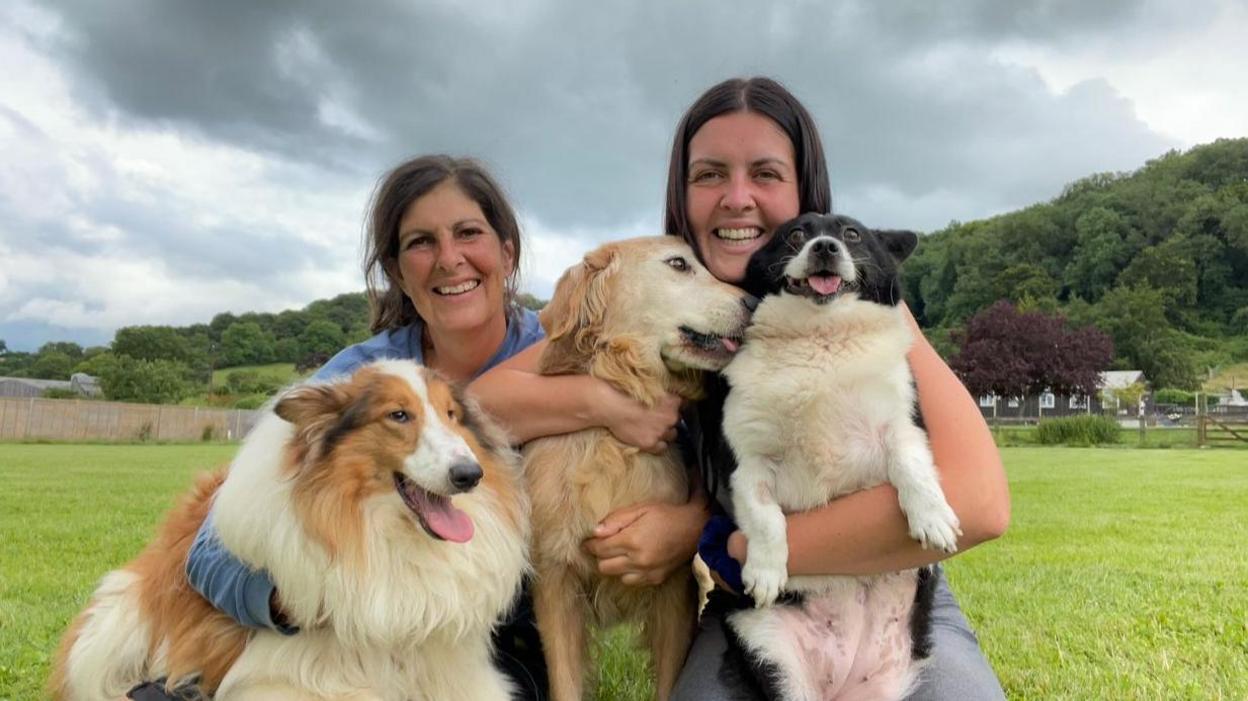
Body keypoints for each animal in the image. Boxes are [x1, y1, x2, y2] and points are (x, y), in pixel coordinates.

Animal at [47, 359, 526, 698]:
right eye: (398, 415)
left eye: (452, 414)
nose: (471, 475)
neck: (391, 540)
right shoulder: (288, 679)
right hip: (113, 627)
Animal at [524, 235, 748, 698]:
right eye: (679, 264)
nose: (754, 301)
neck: (613, 444)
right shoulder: (555, 586)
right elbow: (566, 682)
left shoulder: (675, 591)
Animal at [718, 213, 958, 698]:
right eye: (794, 235)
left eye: (852, 235)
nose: (826, 247)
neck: (820, 338)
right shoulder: (747, 464)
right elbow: (764, 515)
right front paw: (766, 569)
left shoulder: (902, 427)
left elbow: (911, 466)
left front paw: (932, 517)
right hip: (773, 652)